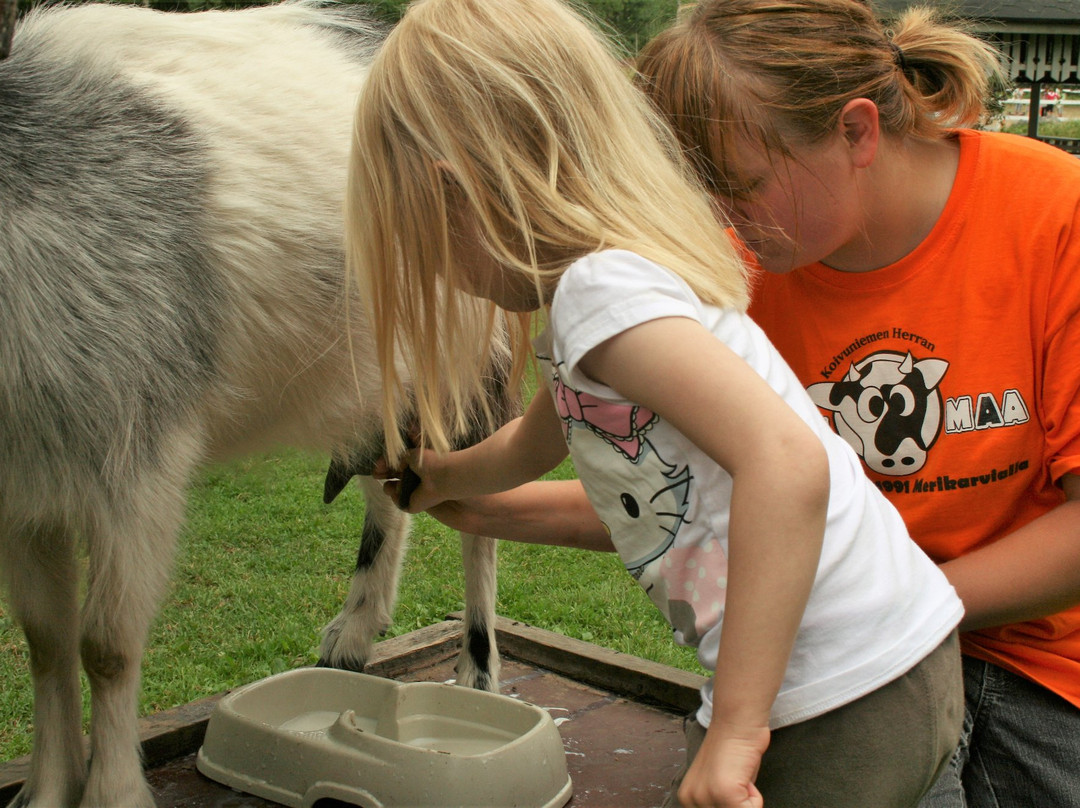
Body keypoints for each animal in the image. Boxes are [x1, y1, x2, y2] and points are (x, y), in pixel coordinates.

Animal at [0, 3, 514, 803]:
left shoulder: (138, 459)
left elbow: (105, 646)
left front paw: (113, 791)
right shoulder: (27, 481)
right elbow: (45, 642)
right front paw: (49, 789)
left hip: (466, 354)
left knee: (479, 510)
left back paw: (479, 669)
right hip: (368, 380)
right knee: (390, 488)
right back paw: (353, 634)